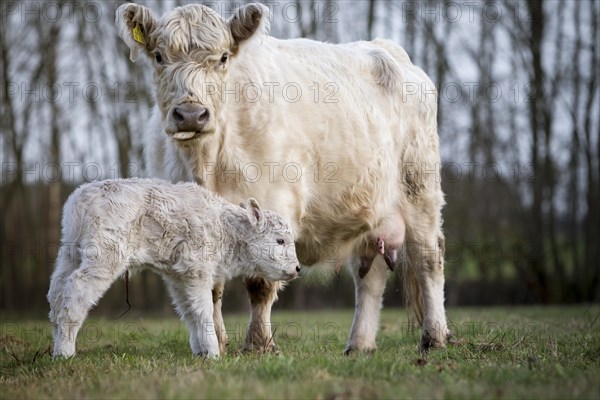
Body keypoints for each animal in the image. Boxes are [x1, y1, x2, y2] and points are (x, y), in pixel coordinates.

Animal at [47, 180, 300, 358]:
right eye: (280, 241)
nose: (298, 268)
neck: (225, 229)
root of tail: (80, 199)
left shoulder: (179, 275)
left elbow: (188, 310)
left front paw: (200, 352)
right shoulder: (197, 269)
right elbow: (204, 310)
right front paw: (213, 353)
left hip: (70, 251)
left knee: (57, 290)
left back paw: (56, 342)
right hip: (105, 253)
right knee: (78, 287)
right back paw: (65, 351)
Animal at [115, 2, 448, 354]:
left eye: (223, 58)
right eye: (158, 56)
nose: (191, 114)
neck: (206, 163)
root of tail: (387, 49)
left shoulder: (273, 204)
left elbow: (260, 284)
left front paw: (258, 345)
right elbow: (211, 285)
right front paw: (218, 341)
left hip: (421, 190)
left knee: (428, 259)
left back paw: (434, 338)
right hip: (372, 211)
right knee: (369, 276)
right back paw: (359, 345)